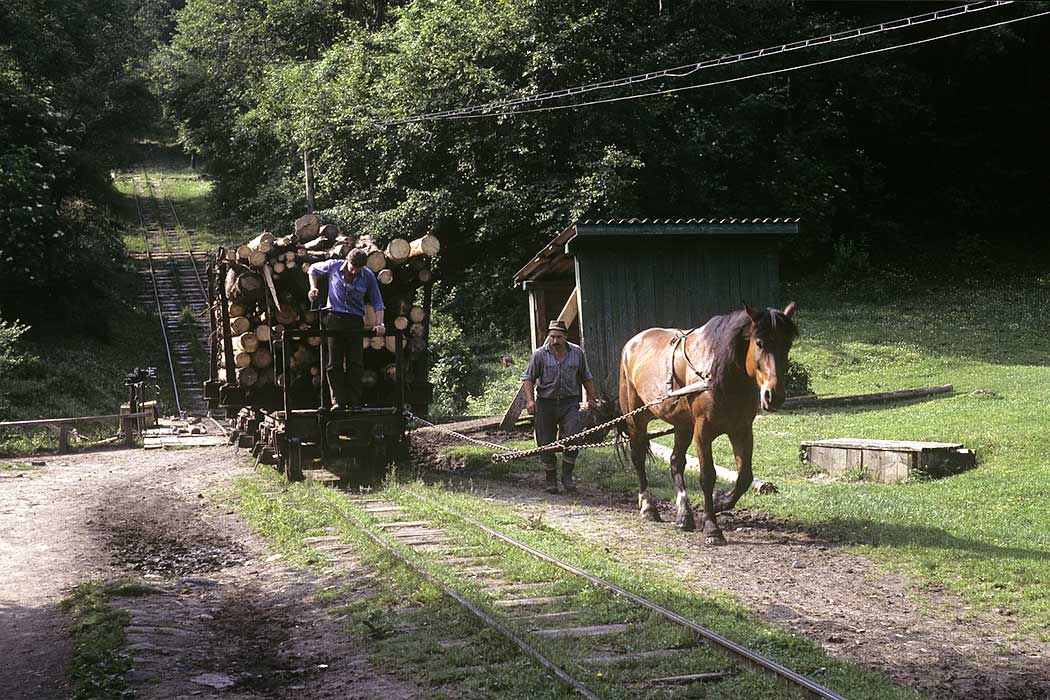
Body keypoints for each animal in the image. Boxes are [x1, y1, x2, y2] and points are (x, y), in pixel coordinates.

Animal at [618, 303, 797, 544]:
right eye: (760, 343)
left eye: (787, 344)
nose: (774, 396)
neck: (720, 375)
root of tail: (632, 343)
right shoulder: (702, 431)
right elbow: (707, 476)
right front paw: (712, 527)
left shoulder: (741, 430)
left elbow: (744, 477)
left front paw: (720, 501)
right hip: (636, 420)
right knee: (638, 459)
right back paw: (648, 507)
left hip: (682, 425)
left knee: (676, 462)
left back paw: (684, 514)